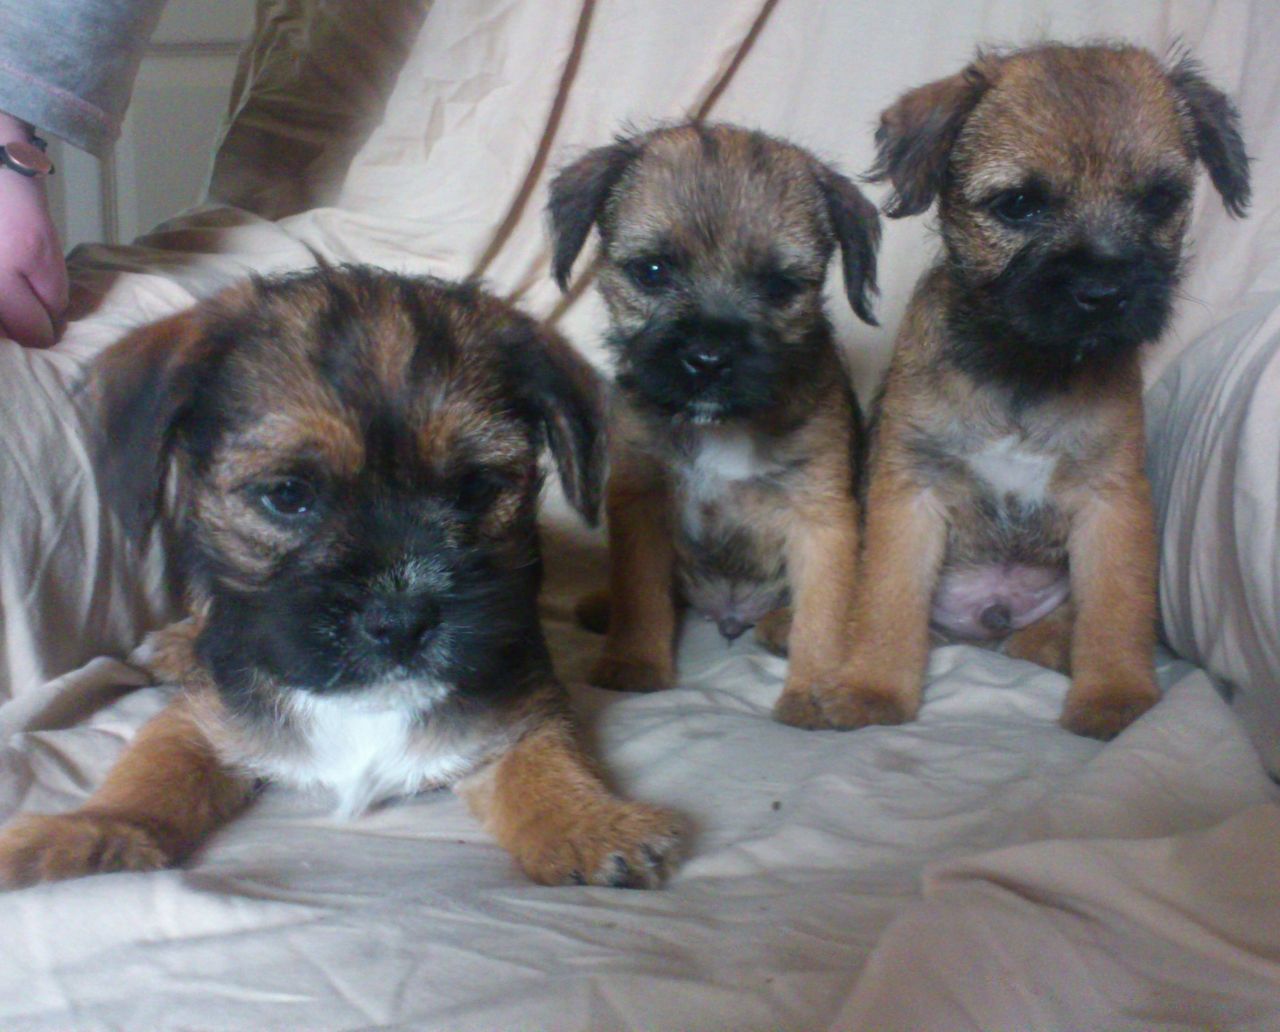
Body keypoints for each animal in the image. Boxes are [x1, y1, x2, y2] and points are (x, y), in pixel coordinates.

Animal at [0, 265, 686, 891]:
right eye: (288, 494)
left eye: (475, 489)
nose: (403, 620)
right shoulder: (201, 718)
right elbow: (150, 778)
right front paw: (88, 834)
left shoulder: (524, 707)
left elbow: (550, 762)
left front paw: (589, 823)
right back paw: (174, 646)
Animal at [545, 123, 885, 717]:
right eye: (652, 271)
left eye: (779, 286)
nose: (708, 357)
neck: (722, 428)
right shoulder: (641, 503)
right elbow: (644, 596)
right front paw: (635, 663)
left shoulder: (822, 517)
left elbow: (824, 614)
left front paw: (814, 695)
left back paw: (780, 625)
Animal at [778, 44, 1249, 737]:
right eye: (1019, 205)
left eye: (1159, 200)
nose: (1104, 292)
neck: (1025, 369)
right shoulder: (910, 494)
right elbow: (888, 602)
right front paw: (872, 690)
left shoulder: (1111, 502)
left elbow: (1116, 610)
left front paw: (1115, 696)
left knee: (1062, 628)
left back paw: (1051, 645)